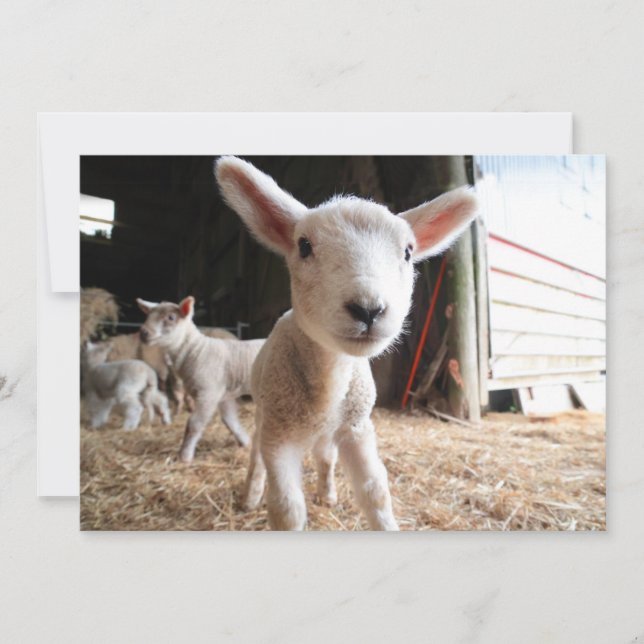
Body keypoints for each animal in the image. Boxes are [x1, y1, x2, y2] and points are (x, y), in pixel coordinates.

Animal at [137, 297, 265, 461]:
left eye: (171, 317)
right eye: (148, 315)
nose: (143, 333)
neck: (196, 350)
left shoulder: (208, 393)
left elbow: (194, 424)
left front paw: (184, 456)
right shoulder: (223, 395)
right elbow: (229, 420)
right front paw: (245, 442)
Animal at [215, 156, 478, 530]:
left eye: (408, 252)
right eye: (304, 246)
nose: (368, 309)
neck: (331, 378)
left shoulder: (357, 428)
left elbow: (375, 492)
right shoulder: (280, 437)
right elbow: (286, 508)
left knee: (325, 457)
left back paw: (326, 493)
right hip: (266, 415)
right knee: (256, 456)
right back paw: (250, 495)